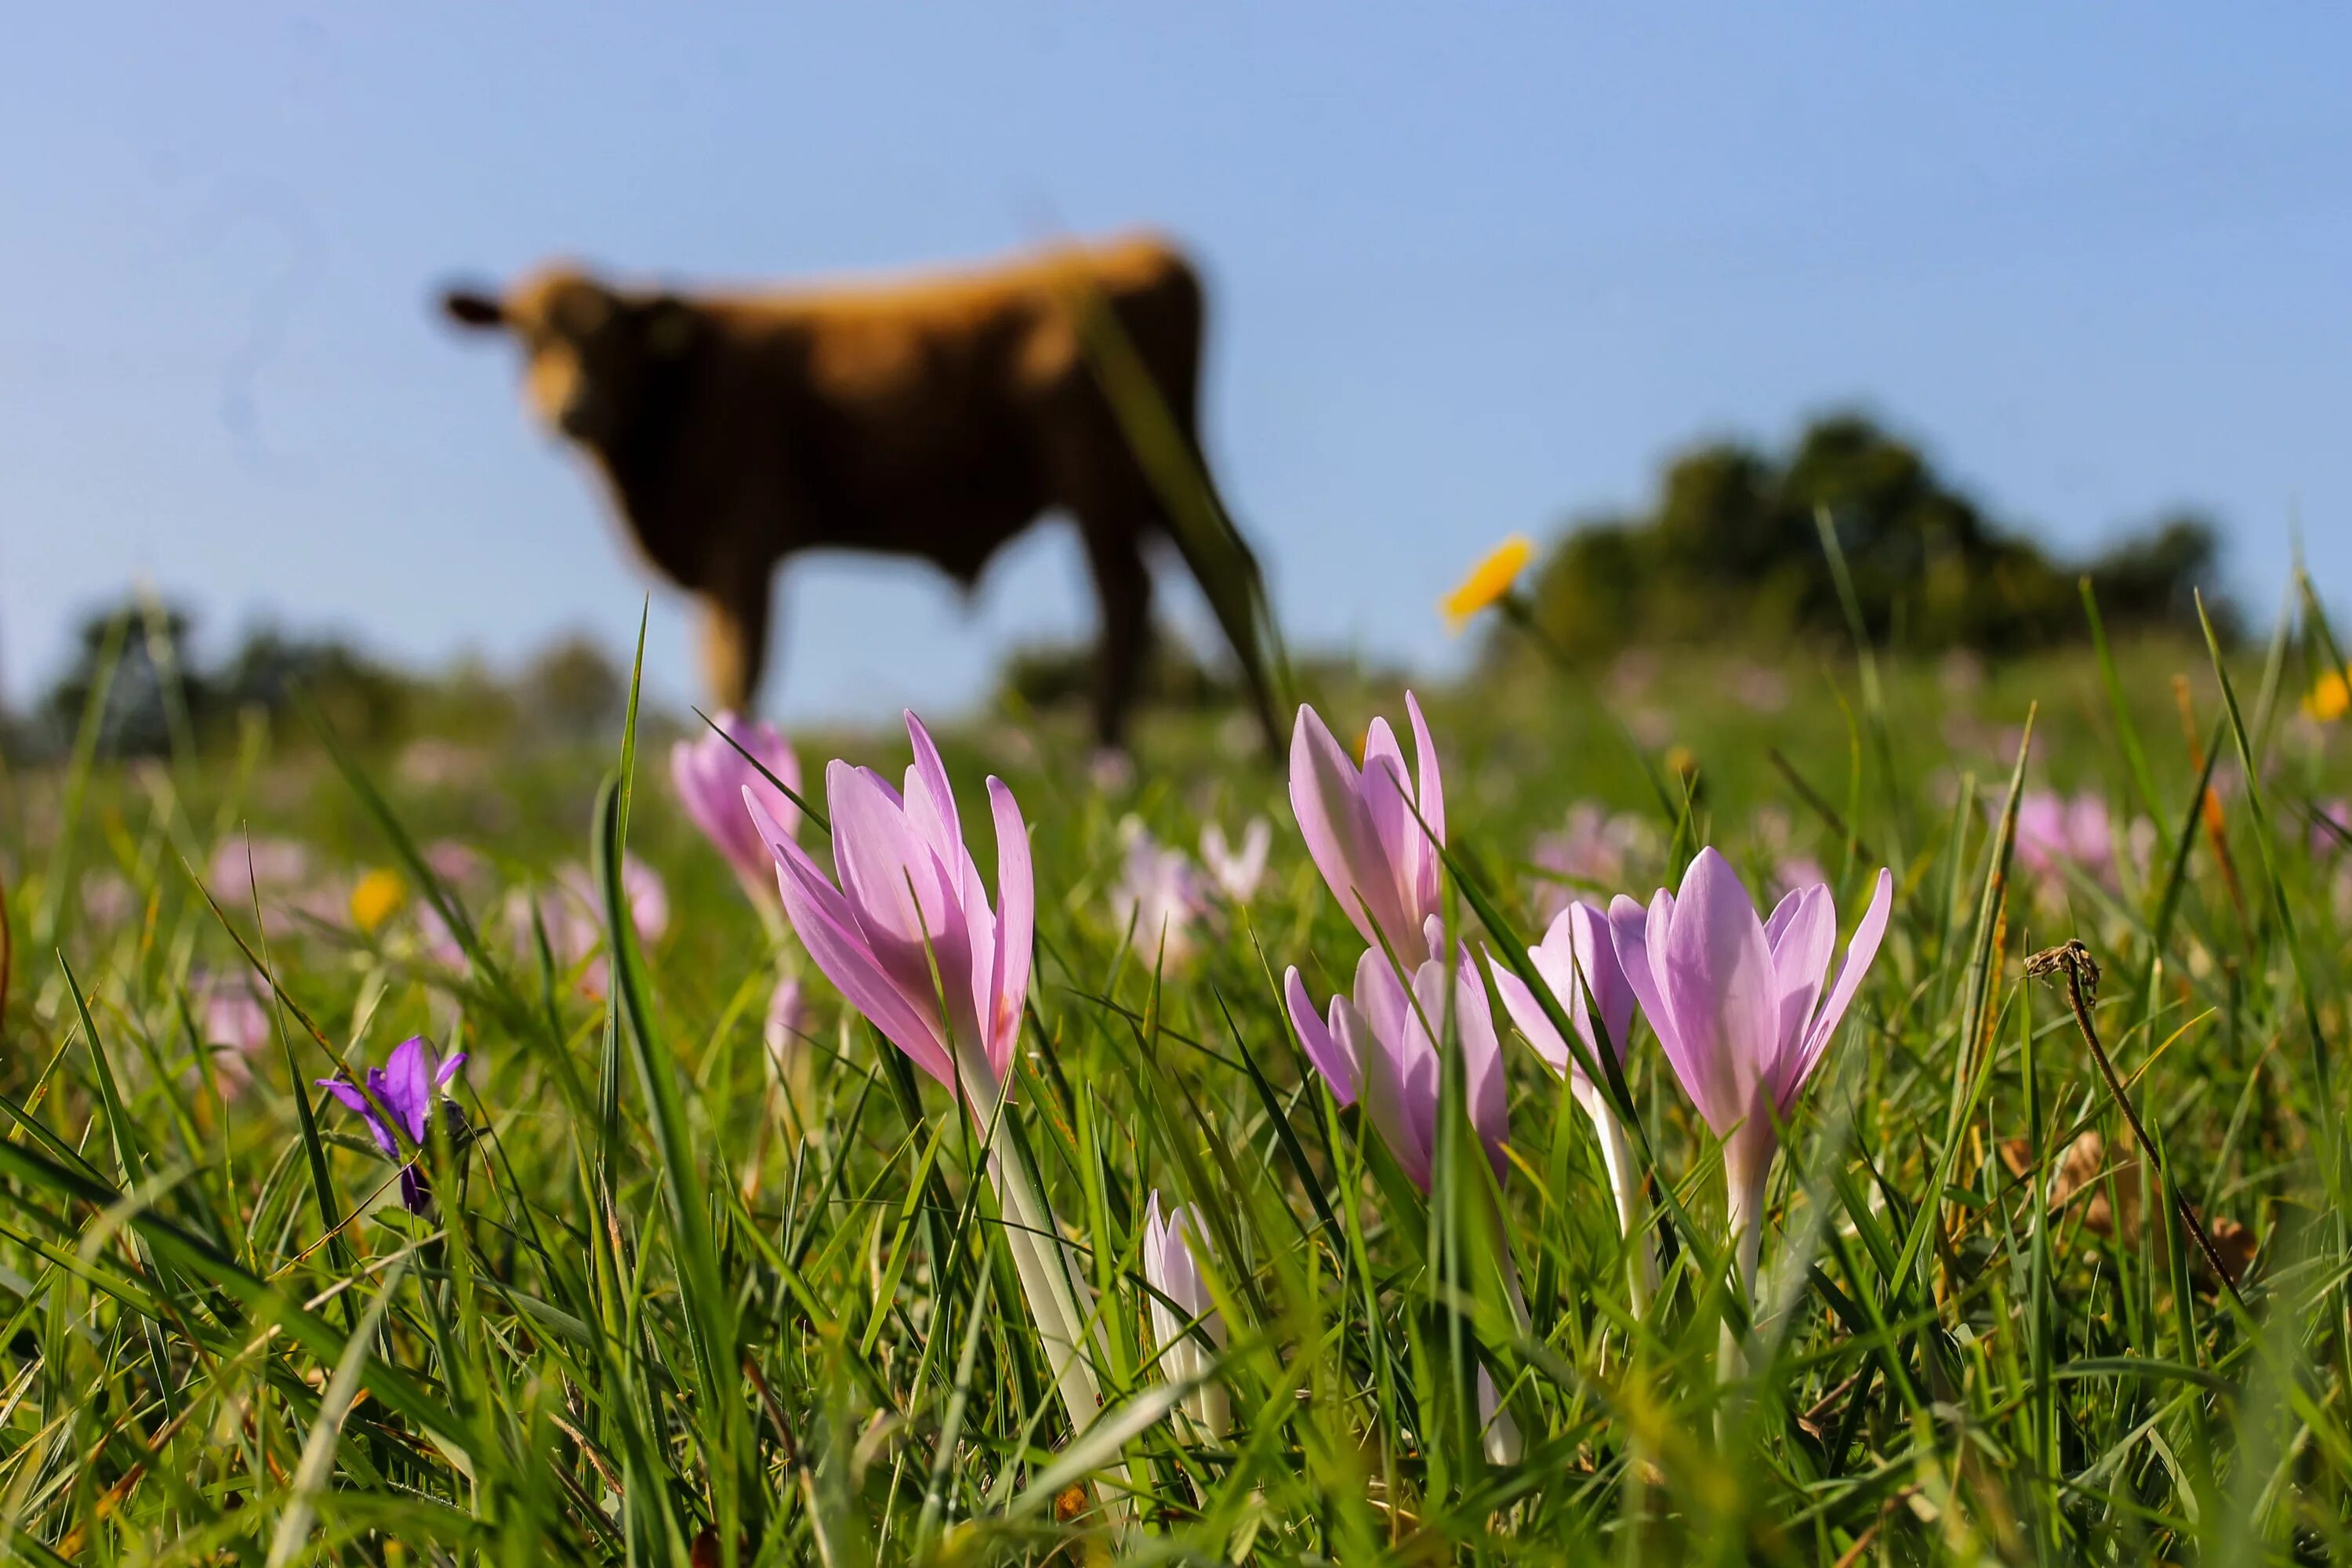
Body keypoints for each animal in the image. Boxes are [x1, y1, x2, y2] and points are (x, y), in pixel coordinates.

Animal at [442, 231, 1289, 747]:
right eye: (525, 339)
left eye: (610, 338)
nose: (572, 411)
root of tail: (1141, 249)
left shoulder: (745, 538)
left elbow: (740, 666)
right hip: (1168, 465)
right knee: (1223, 567)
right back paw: (1264, 743)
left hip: (1099, 473)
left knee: (1128, 596)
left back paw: (1108, 757)